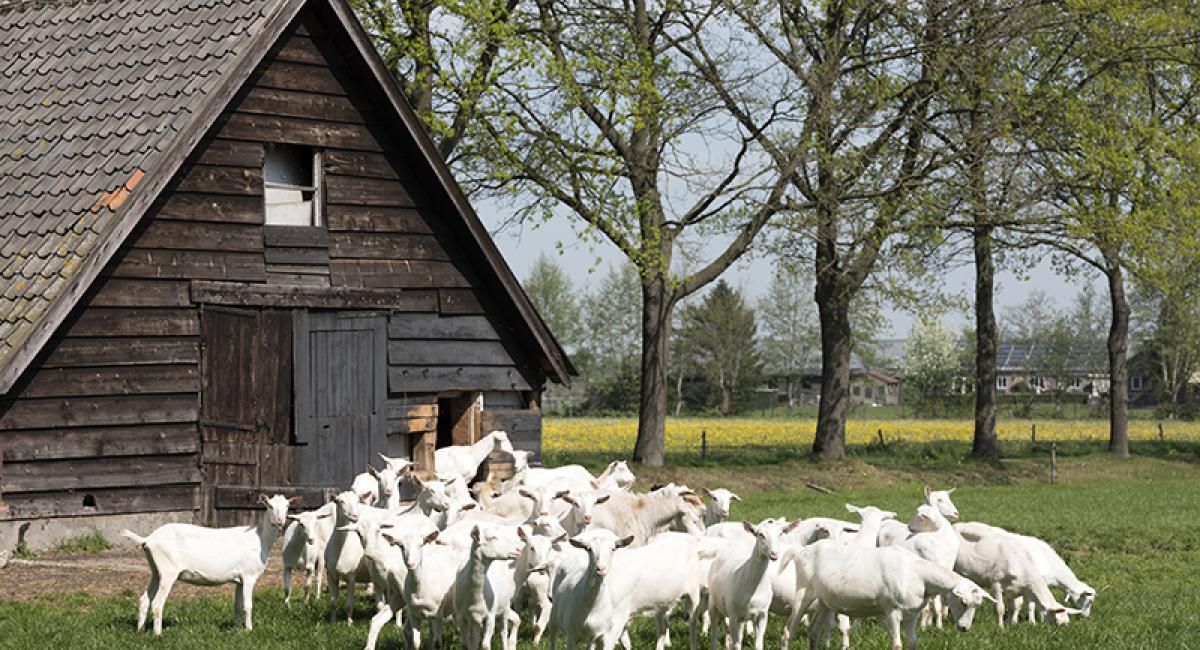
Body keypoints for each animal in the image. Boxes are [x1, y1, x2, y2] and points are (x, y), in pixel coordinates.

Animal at [120, 496, 298, 633]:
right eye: (269, 505)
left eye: (287, 506)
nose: (280, 521)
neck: (259, 537)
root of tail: (149, 539)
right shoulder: (249, 576)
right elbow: (248, 605)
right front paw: (249, 630)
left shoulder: (239, 579)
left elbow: (237, 605)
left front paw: (236, 629)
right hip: (168, 571)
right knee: (157, 603)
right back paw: (158, 634)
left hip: (156, 571)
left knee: (144, 600)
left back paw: (140, 630)